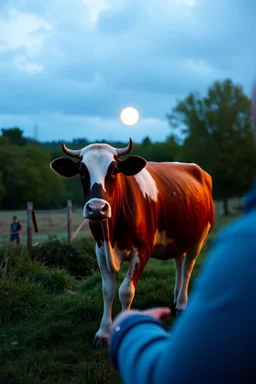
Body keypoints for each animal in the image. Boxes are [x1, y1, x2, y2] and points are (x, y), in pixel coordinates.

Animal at [50, 139, 214, 348]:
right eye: (82, 172)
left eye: (113, 170)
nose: (96, 208)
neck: (111, 232)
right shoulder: (100, 250)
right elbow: (107, 290)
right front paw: (103, 332)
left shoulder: (142, 250)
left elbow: (126, 291)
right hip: (178, 238)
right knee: (179, 263)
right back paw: (176, 296)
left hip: (200, 237)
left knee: (187, 268)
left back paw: (182, 304)